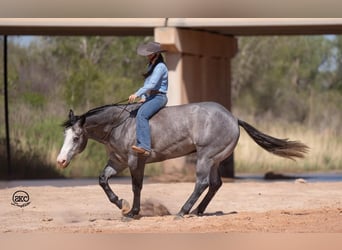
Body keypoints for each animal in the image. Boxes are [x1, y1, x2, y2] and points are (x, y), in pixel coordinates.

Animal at [56, 100, 310, 218]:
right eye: (65, 135)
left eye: (76, 137)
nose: (60, 161)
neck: (120, 124)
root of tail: (233, 117)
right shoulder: (118, 162)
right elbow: (102, 180)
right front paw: (121, 204)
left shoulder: (134, 161)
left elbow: (136, 186)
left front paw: (132, 211)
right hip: (214, 160)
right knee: (215, 184)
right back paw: (198, 211)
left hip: (205, 157)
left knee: (202, 183)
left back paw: (183, 210)